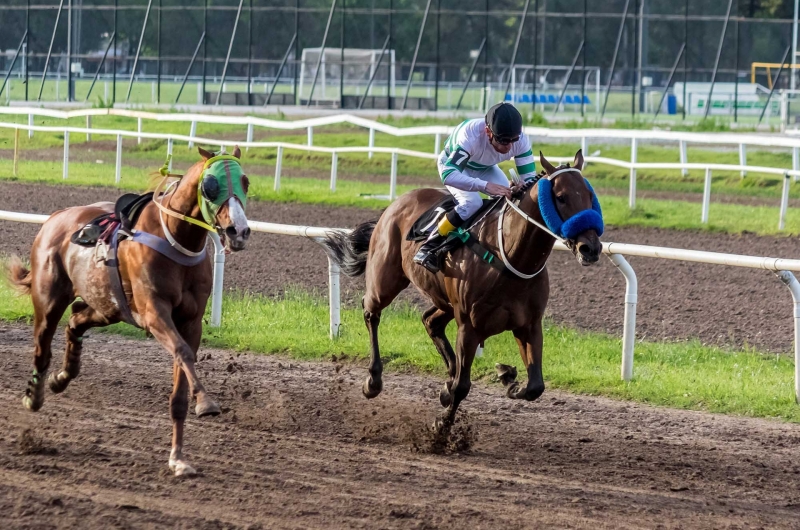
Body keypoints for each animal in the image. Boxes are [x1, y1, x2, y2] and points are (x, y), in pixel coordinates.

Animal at [7, 145, 250, 474]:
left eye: (245, 182)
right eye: (211, 185)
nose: (239, 231)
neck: (176, 238)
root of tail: (55, 218)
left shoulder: (191, 321)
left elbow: (182, 375)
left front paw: (178, 458)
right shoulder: (154, 313)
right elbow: (183, 352)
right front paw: (205, 401)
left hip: (108, 306)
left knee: (77, 319)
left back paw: (63, 376)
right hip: (49, 300)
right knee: (43, 347)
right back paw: (34, 395)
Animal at [318, 150, 600, 428]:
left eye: (589, 196)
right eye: (561, 197)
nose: (591, 248)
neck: (510, 256)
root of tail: (398, 202)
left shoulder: (529, 324)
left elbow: (535, 387)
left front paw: (506, 377)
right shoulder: (469, 326)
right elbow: (463, 386)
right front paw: (443, 425)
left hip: (444, 300)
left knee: (430, 321)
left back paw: (446, 382)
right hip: (386, 280)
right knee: (371, 311)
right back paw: (373, 381)